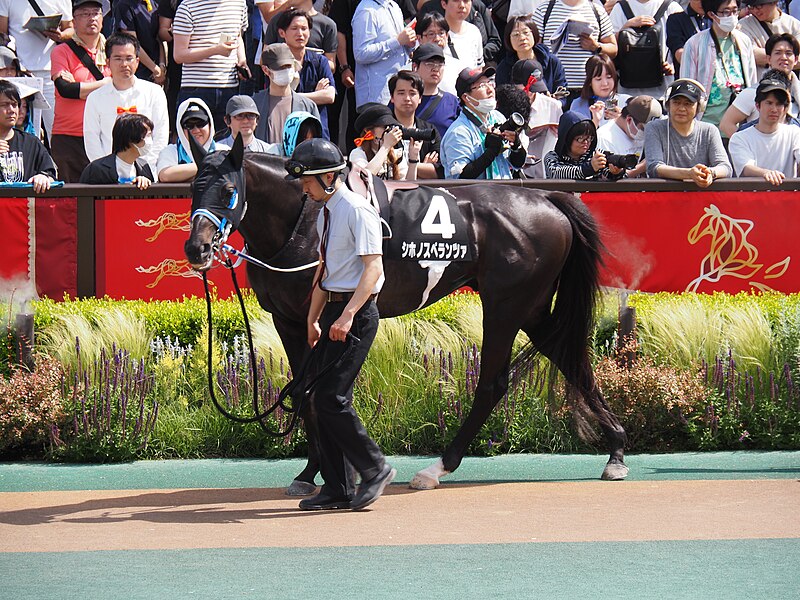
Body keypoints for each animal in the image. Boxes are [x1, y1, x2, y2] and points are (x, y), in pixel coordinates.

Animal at [184, 137, 628, 492]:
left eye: (228, 189)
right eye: (193, 187)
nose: (196, 248)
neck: (304, 218)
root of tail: (547, 198)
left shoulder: (324, 317)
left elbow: (313, 391)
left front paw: (334, 471)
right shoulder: (291, 321)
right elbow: (304, 393)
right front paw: (311, 473)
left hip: (506, 304)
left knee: (492, 384)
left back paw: (437, 468)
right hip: (531, 307)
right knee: (571, 361)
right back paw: (617, 450)